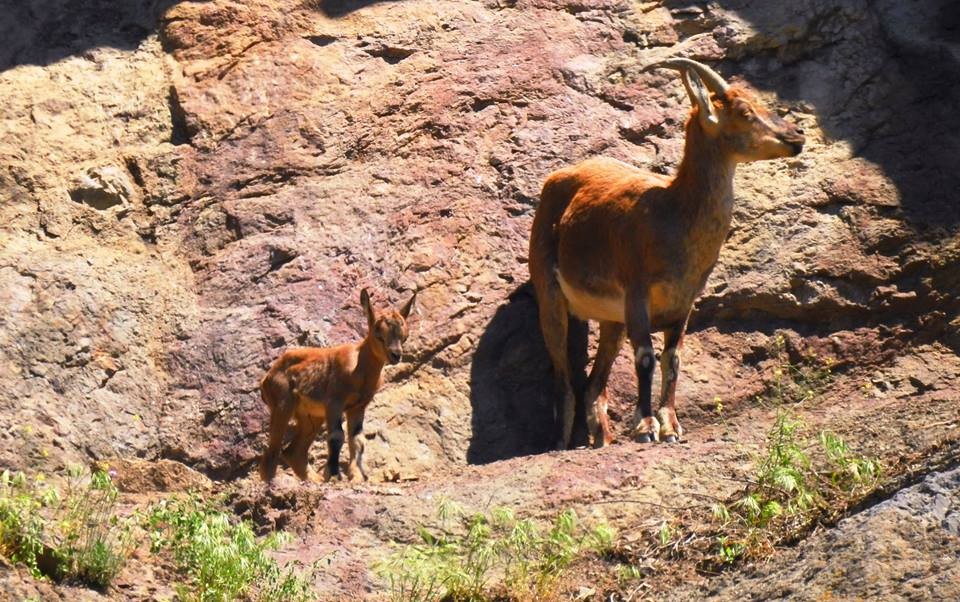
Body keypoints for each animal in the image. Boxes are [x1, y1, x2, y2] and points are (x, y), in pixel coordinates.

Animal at [258, 288, 416, 482]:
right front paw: (334, 474)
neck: (360, 367)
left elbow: (358, 440)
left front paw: (356, 476)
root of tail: (266, 379)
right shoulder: (334, 402)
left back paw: (315, 480)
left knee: (293, 452)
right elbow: (336, 436)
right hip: (282, 405)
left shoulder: (358, 407)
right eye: (378, 335)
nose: (396, 355)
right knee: (272, 449)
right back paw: (272, 481)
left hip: (311, 417)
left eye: (404, 337)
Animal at [528, 58, 808, 448]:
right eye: (744, 111)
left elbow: (672, 360)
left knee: (595, 384)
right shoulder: (637, 294)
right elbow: (646, 357)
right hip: (549, 295)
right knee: (564, 378)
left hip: (612, 320)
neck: (673, 212)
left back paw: (604, 439)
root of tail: (555, 181)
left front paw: (671, 426)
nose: (797, 135)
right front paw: (646, 427)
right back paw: (561, 444)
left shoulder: (684, 302)